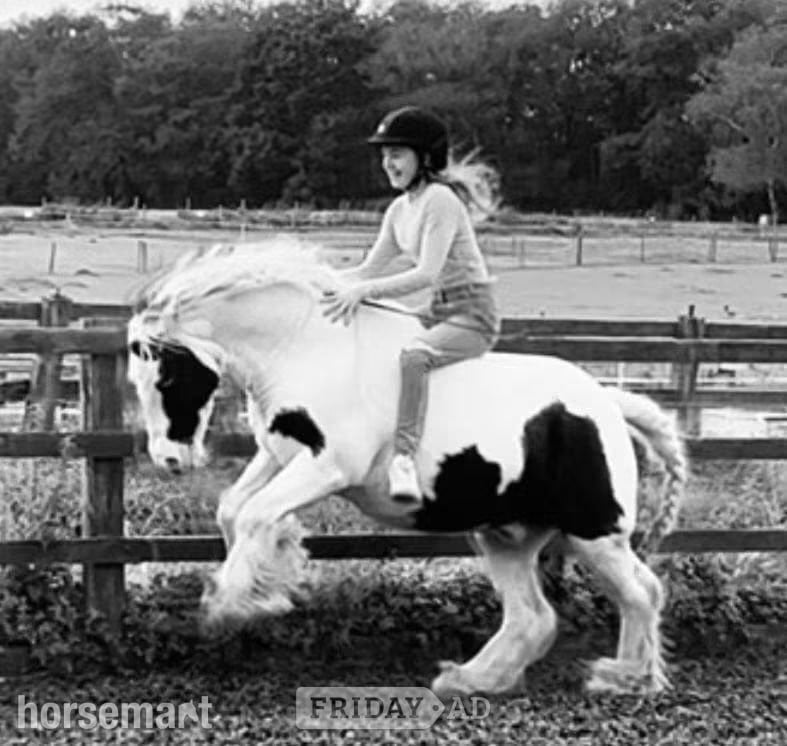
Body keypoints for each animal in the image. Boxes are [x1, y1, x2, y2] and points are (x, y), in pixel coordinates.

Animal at [126, 237, 686, 697]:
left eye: (167, 378)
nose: (169, 460)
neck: (307, 348)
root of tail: (609, 404)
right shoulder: (278, 455)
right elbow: (234, 509)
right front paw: (275, 575)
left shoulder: (329, 467)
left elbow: (253, 515)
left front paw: (236, 605)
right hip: (507, 536)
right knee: (534, 616)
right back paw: (471, 679)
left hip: (596, 533)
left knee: (642, 592)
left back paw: (626, 679)